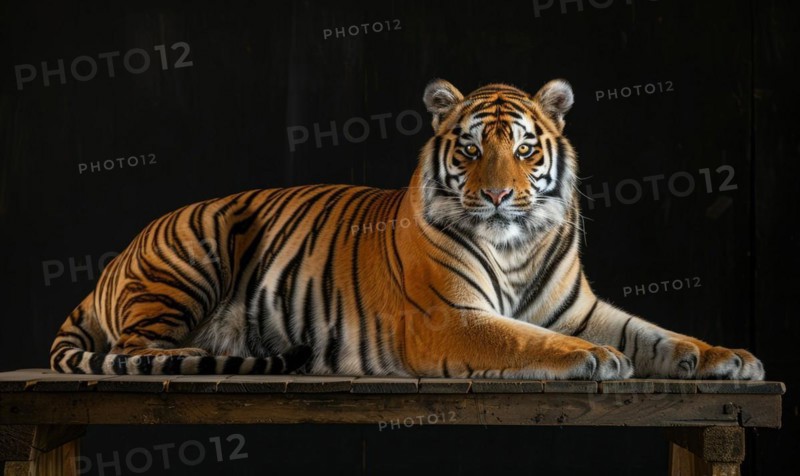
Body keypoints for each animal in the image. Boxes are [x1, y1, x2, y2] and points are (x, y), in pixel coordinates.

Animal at [50, 79, 764, 380]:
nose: (498, 195)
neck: (516, 246)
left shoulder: (579, 309)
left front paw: (730, 358)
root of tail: (109, 267)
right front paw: (593, 359)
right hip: (196, 247)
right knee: (133, 351)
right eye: (471, 149)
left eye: (525, 149)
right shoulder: (447, 318)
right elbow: (522, 339)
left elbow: (659, 334)